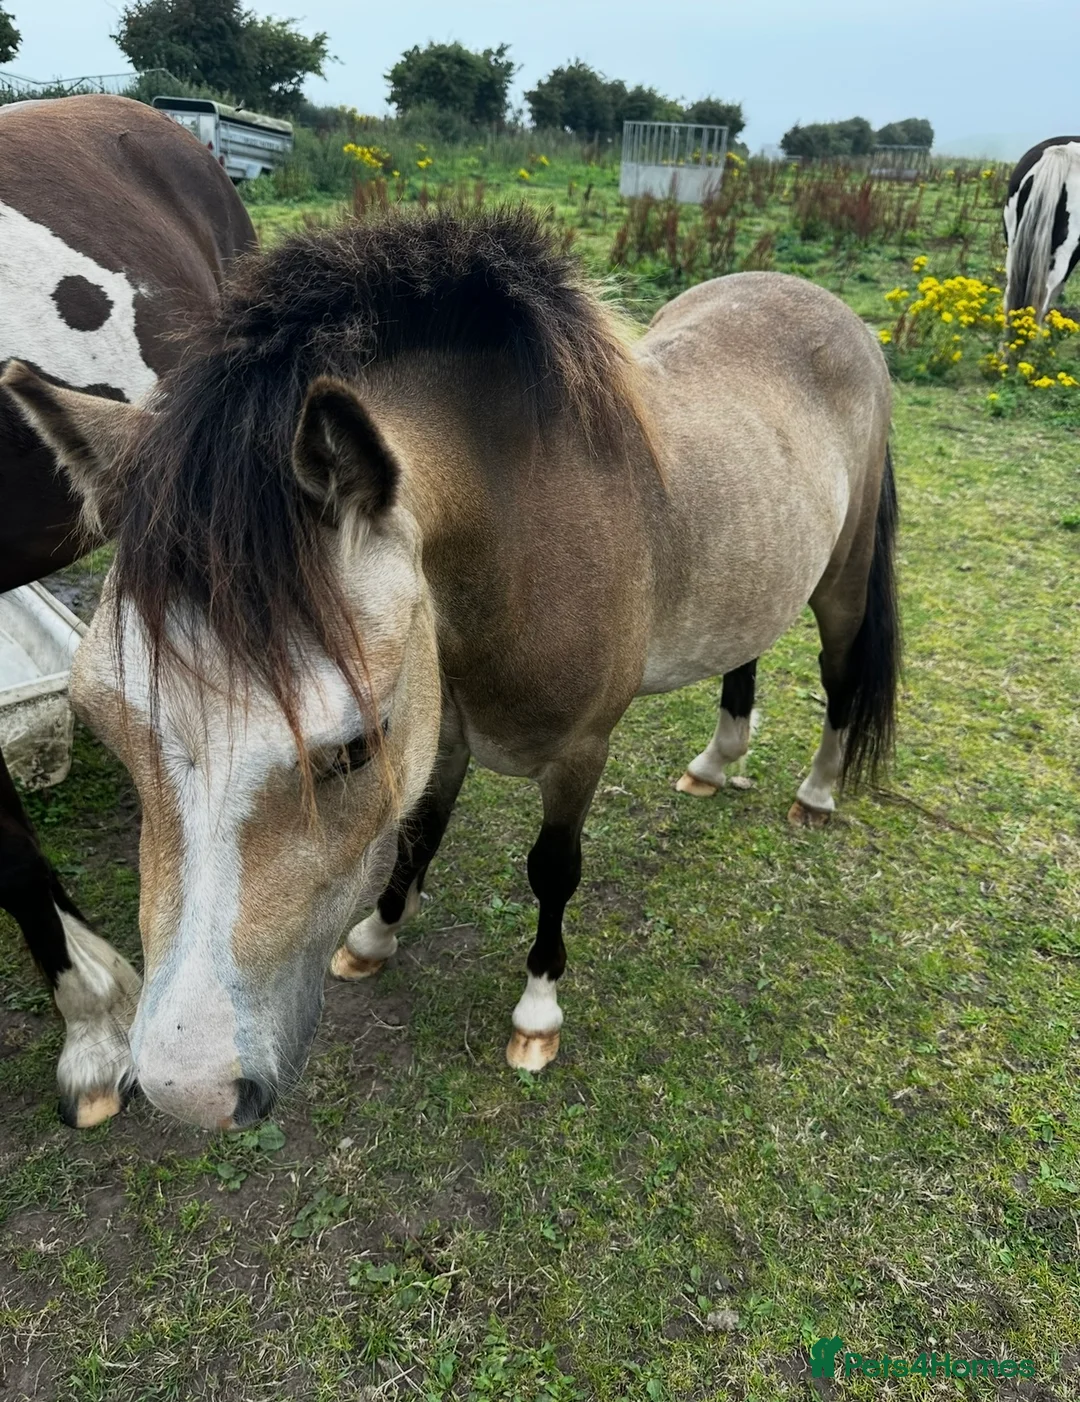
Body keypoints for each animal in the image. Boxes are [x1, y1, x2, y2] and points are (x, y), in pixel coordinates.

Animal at [2, 207, 900, 1131]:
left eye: (353, 748)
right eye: (107, 730)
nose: (192, 1092)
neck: (524, 542)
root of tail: (827, 307)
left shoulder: (578, 753)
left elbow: (553, 868)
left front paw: (537, 1012)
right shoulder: (445, 730)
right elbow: (416, 834)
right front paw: (375, 938)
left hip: (842, 581)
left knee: (838, 679)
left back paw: (817, 792)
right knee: (744, 656)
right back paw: (718, 762)